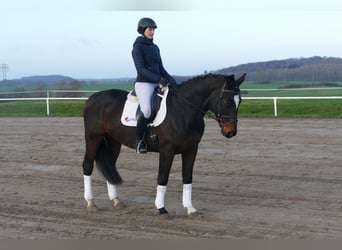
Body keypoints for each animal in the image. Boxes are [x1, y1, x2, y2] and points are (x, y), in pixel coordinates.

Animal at [82, 72, 246, 217]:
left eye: (240, 101)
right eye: (227, 101)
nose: (231, 132)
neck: (183, 109)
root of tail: (92, 98)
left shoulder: (191, 149)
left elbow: (187, 178)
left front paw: (190, 209)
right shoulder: (167, 150)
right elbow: (162, 178)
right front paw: (161, 209)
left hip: (114, 141)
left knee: (110, 165)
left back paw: (116, 201)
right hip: (93, 137)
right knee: (88, 165)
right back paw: (91, 203)